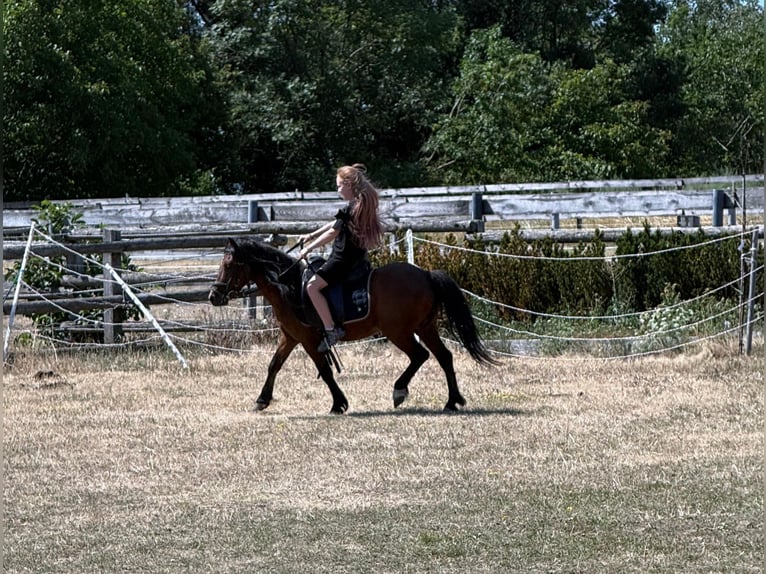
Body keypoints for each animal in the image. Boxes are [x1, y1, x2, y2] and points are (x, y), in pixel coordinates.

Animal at [208, 237, 498, 414]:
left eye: (229, 264)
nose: (214, 296)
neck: (288, 285)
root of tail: (426, 274)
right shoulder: (290, 337)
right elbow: (274, 365)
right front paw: (262, 400)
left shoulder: (309, 340)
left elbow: (325, 371)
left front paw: (339, 404)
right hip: (425, 327)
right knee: (444, 357)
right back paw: (452, 400)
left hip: (399, 331)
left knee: (420, 355)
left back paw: (400, 390)